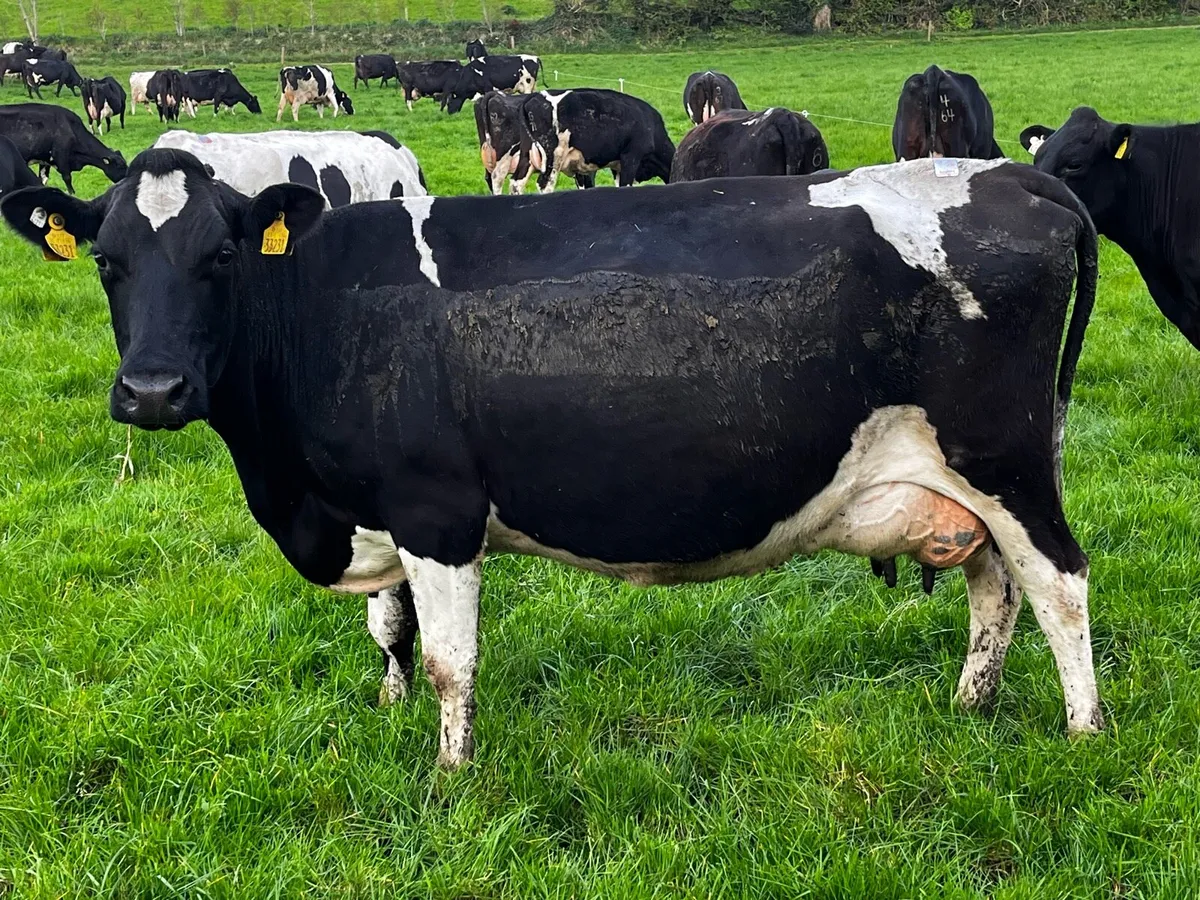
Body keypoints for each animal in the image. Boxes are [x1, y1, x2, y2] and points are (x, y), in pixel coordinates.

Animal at [0, 150, 1105, 770]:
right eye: (108, 264)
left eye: (220, 257)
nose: (152, 392)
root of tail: (1009, 172)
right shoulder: (377, 504)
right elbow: (389, 630)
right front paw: (389, 716)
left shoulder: (437, 510)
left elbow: (449, 660)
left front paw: (450, 780)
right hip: (970, 483)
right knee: (995, 587)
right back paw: (970, 706)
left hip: (1004, 458)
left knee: (1059, 582)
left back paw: (1085, 734)